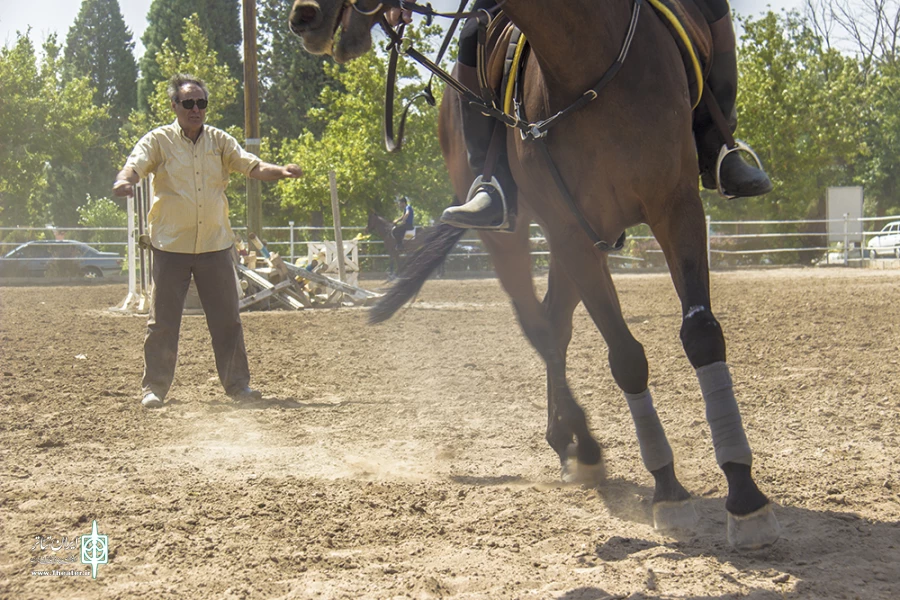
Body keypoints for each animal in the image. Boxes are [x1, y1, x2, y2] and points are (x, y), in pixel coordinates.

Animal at [290, 0, 780, 548]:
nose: (305, 18)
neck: (583, 61)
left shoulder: (675, 209)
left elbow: (701, 334)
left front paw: (744, 493)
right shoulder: (569, 231)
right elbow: (626, 357)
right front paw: (668, 488)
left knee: (555, 324)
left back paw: (570, 439)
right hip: (518, 236)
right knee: (539, 325)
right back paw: (581, 443)